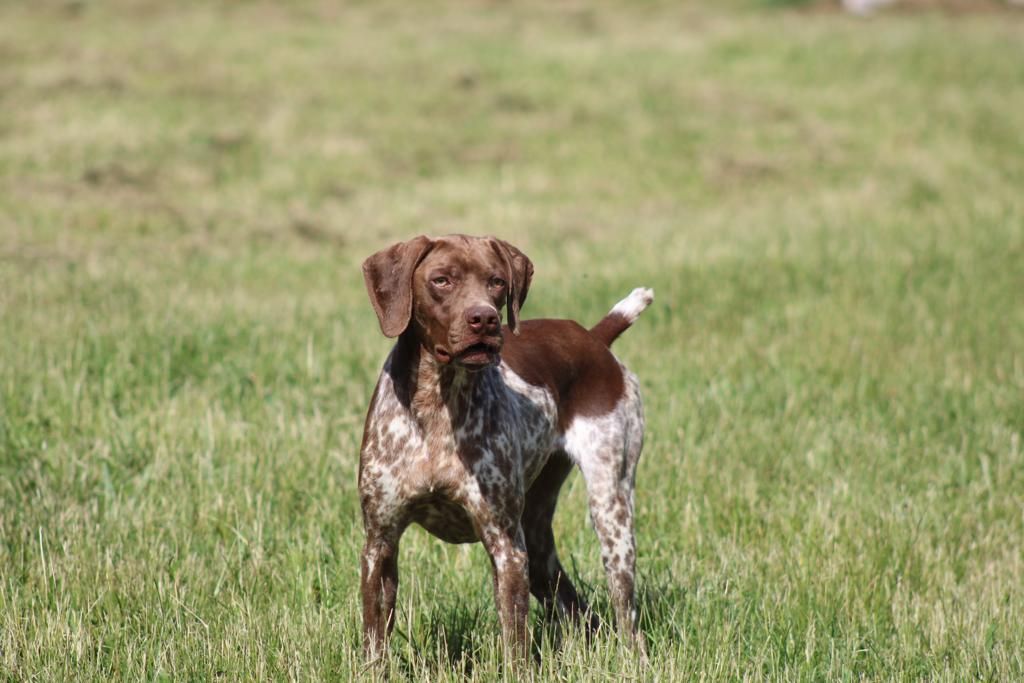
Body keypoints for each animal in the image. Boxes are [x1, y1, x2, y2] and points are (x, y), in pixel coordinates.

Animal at [356, 233, 651, 655]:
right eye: (441, 280)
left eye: (496, 281)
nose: (484, 319)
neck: (437, 405)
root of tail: (593, 338)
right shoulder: (380, 543)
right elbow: (374, 641)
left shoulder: (506, 547)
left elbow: (516, 646)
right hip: (539, 539)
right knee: (578, 608)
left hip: (611, 510)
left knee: (626, 615)